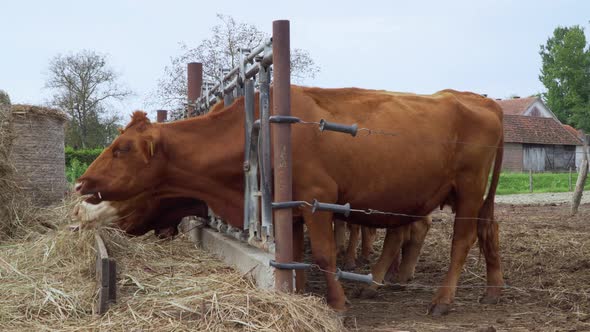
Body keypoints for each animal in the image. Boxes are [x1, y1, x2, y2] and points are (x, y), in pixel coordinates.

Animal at [76, 85, 506, 314]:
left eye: (121, 149)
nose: (80, 183)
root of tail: (481, 100)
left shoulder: (318, 201)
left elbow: (325, 255)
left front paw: (336, 304)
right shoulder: (292, 213)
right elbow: (296, 252)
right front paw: (298, 291)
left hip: (469, 190)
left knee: (462, 240)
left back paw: (442, 300)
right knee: (482, 231)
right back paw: (490, 290)